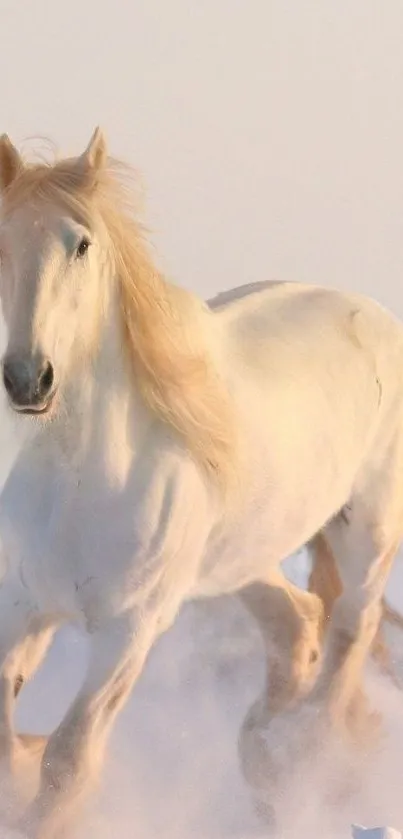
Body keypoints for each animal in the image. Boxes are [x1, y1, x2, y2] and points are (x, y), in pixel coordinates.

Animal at [0, 128, 403, 836]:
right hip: (241, 558)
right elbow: (8, 741)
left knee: (349, 634)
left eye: (81, 244)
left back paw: (304, 764)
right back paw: (264, 758)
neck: (80, 482)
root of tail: (372, 312)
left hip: (367, 536)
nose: (29, 379)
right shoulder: (23, 606)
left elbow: (68, 761)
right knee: (298, 622)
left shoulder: (129, 631)